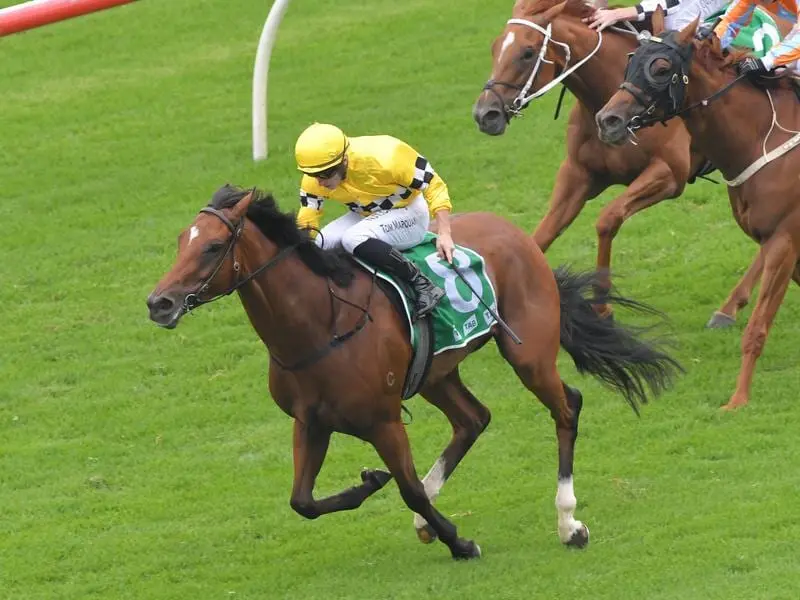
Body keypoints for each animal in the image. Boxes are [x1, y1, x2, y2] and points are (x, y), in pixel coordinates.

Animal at [145, 185, 680, 560]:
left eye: (213, 247)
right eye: (180, 241)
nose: (159, 303)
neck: (321, 324)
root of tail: (517, 233)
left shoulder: (382, 421)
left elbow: (407, 491)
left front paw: (459, 542)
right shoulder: (310, 421)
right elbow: (303, 501)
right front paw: (371, 482)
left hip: (527, 353)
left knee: (566, 408)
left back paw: (569, 524)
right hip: (436, 373)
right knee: (473, 419)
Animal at [472, 0, 764, 326]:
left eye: (527, 52)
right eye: (495, 47)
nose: (485, 114)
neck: (610, 95)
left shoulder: (668, 174)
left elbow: (607, 219)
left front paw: (602, 305)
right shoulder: (578, 174)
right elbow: (542, 234)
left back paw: (730, 306)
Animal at [592, 7, 800, 410]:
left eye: (660, 67)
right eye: (630, 61)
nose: (608, 120)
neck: (760, 136)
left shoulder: (786, 238)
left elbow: (757, 328)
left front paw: (738, 399)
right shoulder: (779, 240)